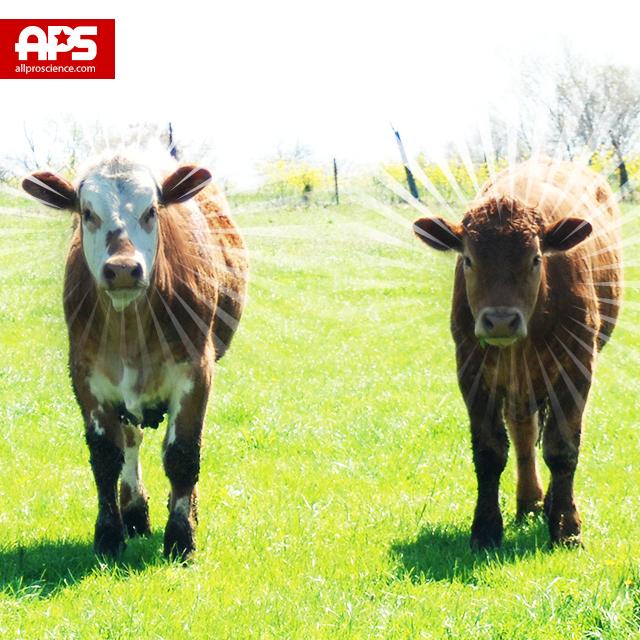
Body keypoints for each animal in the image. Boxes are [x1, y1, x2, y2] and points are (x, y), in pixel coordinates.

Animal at [22, 152, 248, 560]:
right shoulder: (86, 375)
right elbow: (106, 457)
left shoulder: (196, 371)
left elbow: (183, 454)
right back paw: (134, 513)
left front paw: (181, 537)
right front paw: (109, 535)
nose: (124, 269)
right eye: (87, 212)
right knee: (131, 441)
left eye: (151, 210)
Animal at [413, 159, 622, 549]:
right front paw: (484, 529)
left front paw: (567, 527)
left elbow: (562, 447)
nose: (500, 320)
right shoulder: (471, 369)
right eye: (468, 259)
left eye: (535, 258)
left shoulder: (577, 366)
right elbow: (489, 450)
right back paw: (529, 502)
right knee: (523, 431)